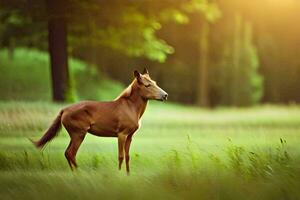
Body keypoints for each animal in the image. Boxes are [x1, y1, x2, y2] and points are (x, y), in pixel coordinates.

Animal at [31, 68, 168, 173]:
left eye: (154, 82)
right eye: (147, 85)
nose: (165, 95)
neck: (130, 108)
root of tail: (64, 110)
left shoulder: (130, 136)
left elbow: (128, 156)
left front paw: (128, 174)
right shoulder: (121, 134)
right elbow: (121, 156)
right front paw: (119, 174)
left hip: (74, 135)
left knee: (67, 153)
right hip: (79, 134)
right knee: (71, 153)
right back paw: (79, 173)